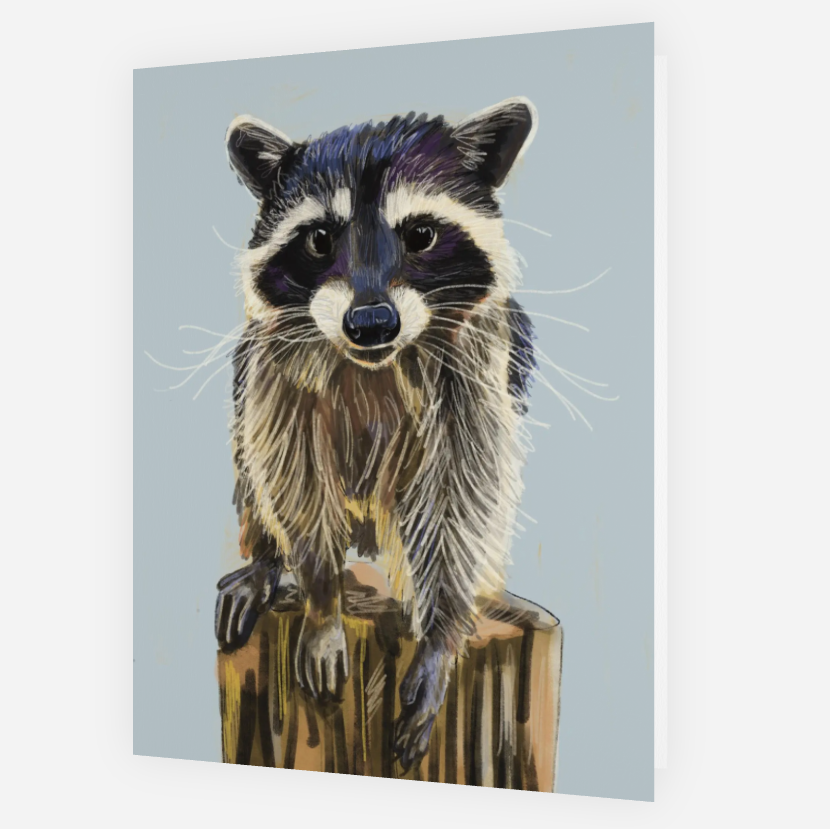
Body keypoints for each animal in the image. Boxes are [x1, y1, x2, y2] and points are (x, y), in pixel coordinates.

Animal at [215, 98, 538, 770]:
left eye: (420, 235)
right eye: (319, 240)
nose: (369, 322)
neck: (372, 364)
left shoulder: (476, 373)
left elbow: (461, 498)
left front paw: (441, 634)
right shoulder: (277, 370)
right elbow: (291, 478)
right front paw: (320, 598)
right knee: (252, 468)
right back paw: (265, 559)